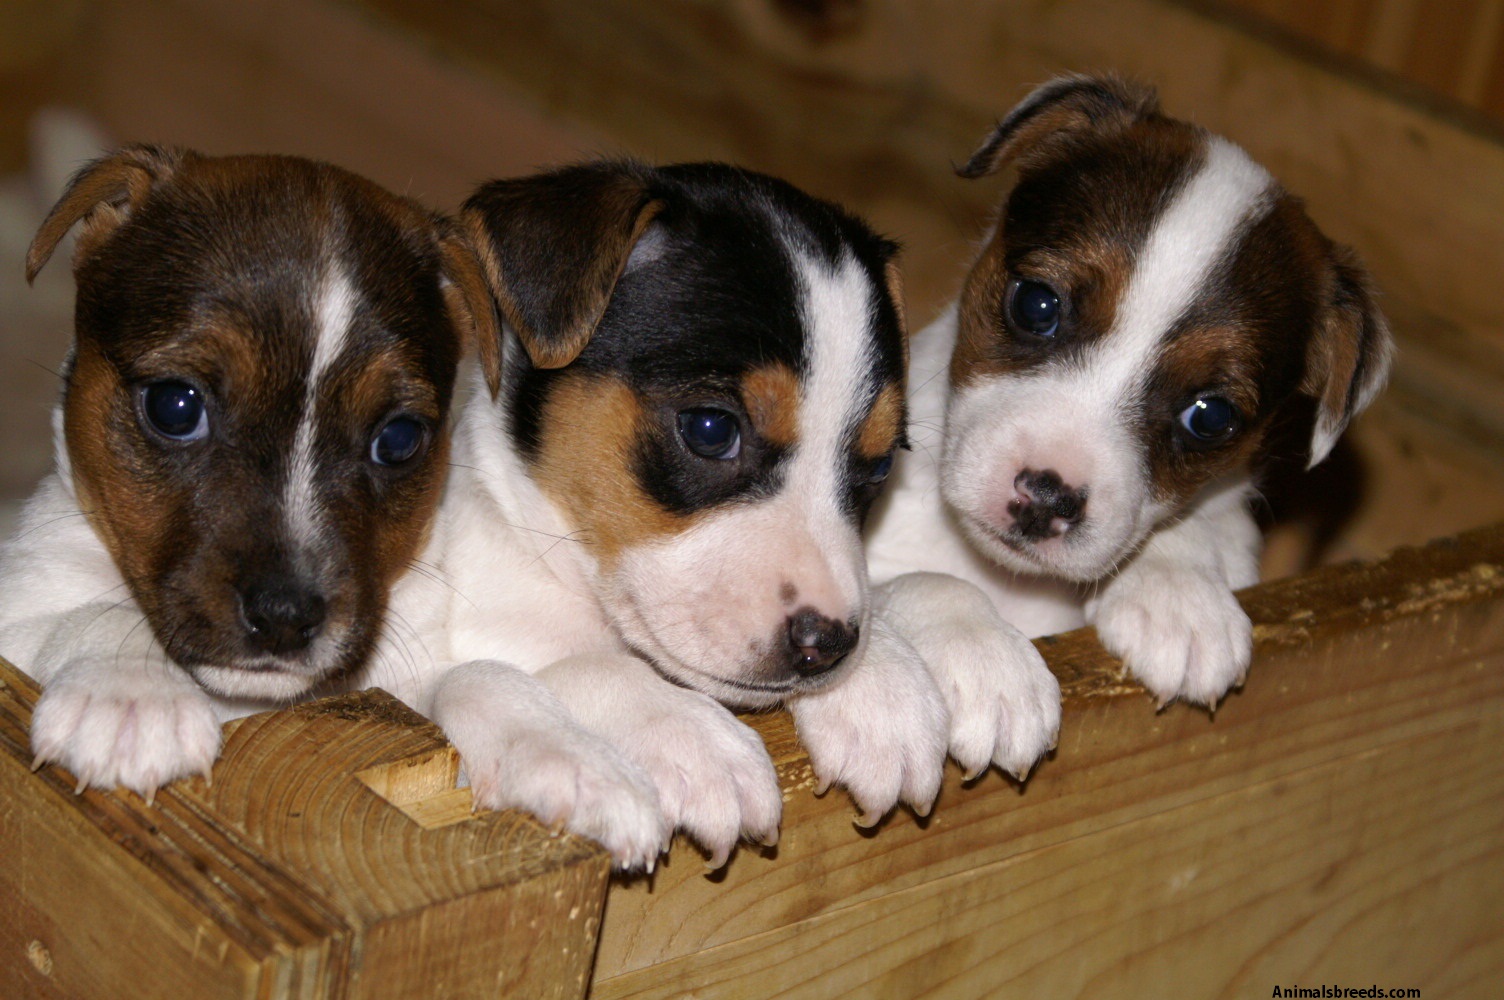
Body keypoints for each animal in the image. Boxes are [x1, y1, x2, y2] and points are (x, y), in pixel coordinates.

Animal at [0, 146, 493, 793]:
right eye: (174, 406)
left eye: (399, 439)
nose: (285, 616)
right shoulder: (20, 610)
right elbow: (96, 616)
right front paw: (130, 694)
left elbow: (472, 680)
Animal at [388, 160, 950, 872]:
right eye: (711, 429)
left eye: (878, 468)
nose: (825, 646)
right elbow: (581, 668)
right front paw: (689, 737)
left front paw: (882, 688)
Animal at [872, 78, 1395, 709]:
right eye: (1037, 304)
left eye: (1210, 417)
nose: (1047, 497)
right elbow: (914, 583)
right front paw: (979, 652)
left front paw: (1177, 595)